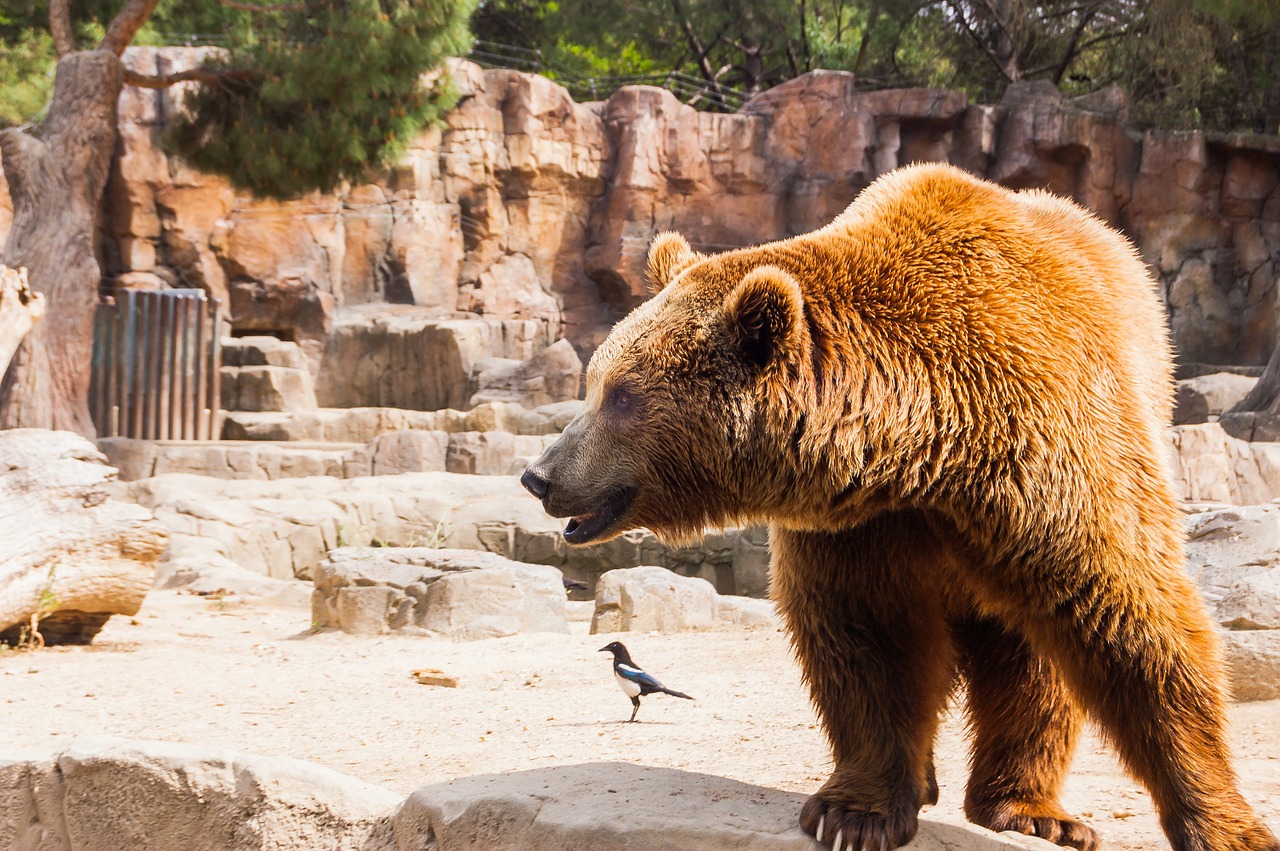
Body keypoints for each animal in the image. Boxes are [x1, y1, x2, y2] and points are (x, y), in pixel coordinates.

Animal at [522, 161, 1280, 849]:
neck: (928, 443)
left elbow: (1130, 615)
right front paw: (855, 812)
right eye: (594, 381)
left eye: (621, 395)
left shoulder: (1048, 454)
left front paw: (1226, 824)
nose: (540, 475)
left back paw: (1032, 809)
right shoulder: (861, 519)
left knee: (1037, 657)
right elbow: (869, 634)